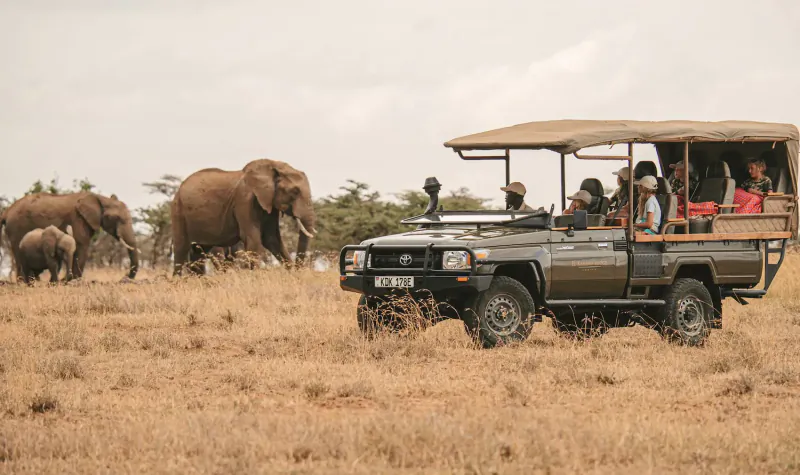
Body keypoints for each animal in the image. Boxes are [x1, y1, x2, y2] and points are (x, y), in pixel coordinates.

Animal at [1, 192, 139, 281]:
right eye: (116, 218)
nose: (124, 277)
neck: (100, 198)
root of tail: (7, 211)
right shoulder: (78, 219)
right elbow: (82, 245)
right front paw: (74, 280)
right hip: (17, 227)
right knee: (18, 253)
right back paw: (23, 281)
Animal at [171, 159, 316, 275]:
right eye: (295, 191)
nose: (299, 270)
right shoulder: (244, 200)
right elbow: (253, 239)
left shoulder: (268, 204)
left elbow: (271, 239)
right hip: (178, 210)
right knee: (181, 249)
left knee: (198, 252)